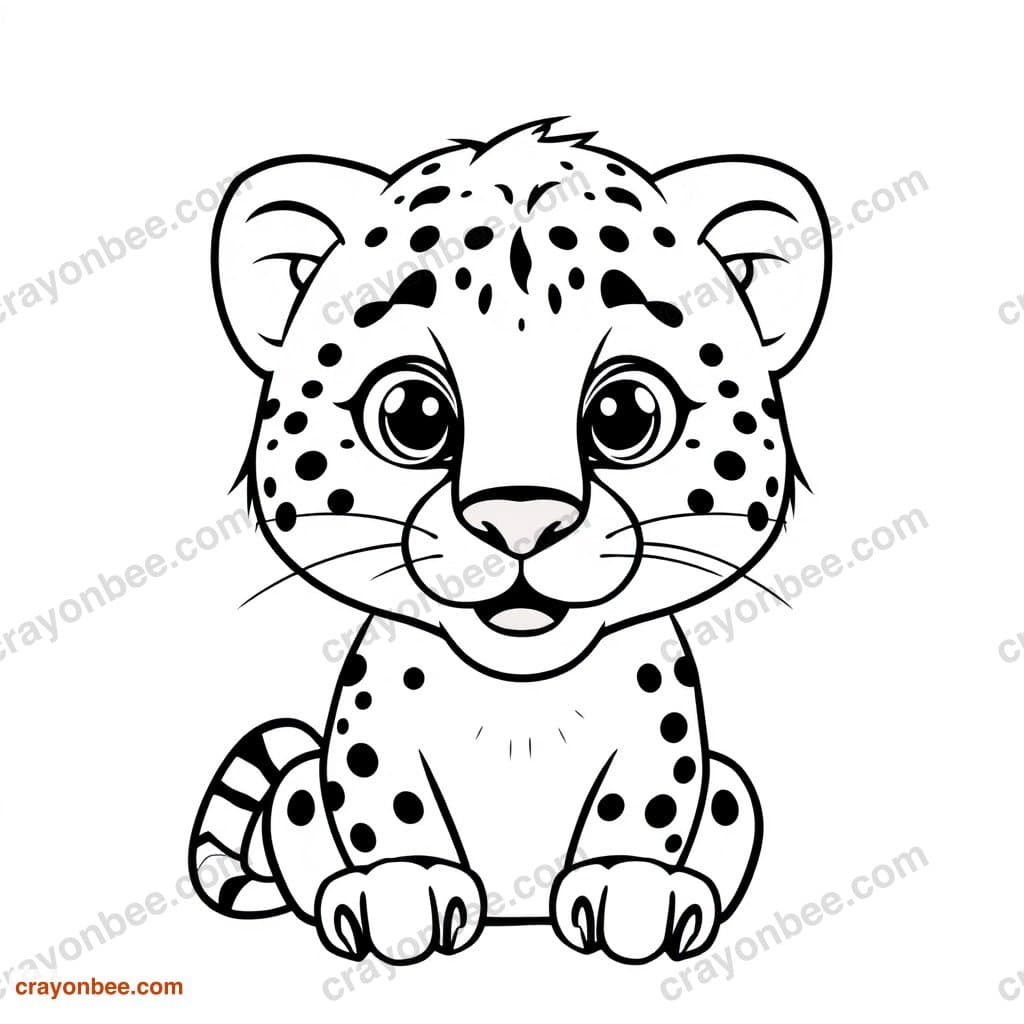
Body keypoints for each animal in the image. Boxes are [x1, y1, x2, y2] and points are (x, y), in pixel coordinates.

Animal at [188, 117, 831, 966]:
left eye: (626, 413)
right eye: (414, 414)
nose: (519, 520)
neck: (521, 697)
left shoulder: (666, 732)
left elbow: (651, 798)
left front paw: (630, 888)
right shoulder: (371, 726)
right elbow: (379, 794)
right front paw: (403, 888)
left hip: (734, 791)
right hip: (296, 792)